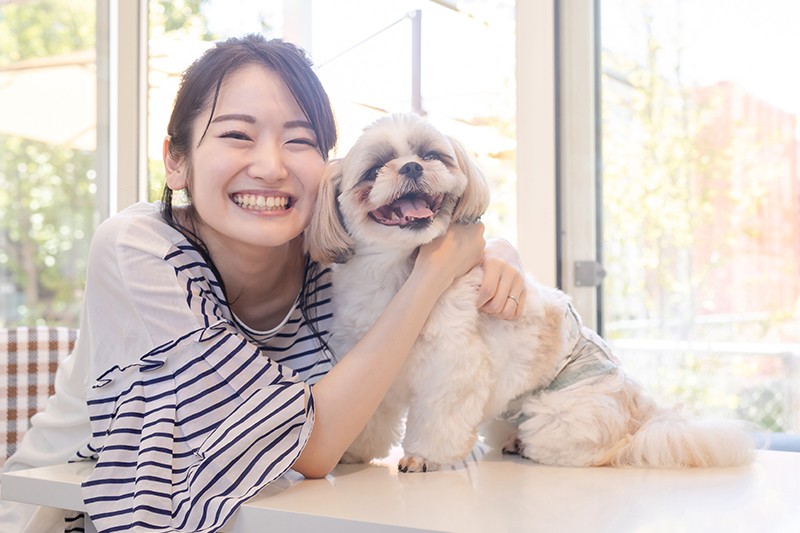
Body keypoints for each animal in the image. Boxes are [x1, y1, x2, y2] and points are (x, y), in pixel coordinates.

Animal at [304, 112, 756, 470]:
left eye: (432, 155)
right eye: (374, 169)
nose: (413, 167)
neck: (397, 276)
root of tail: (641, 416)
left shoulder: (451, 367)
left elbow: (439, 417)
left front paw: (423, 457)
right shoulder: (366, 359)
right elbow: (368, 415)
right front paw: (353, 452)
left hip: (561, 418)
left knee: (599, 449)